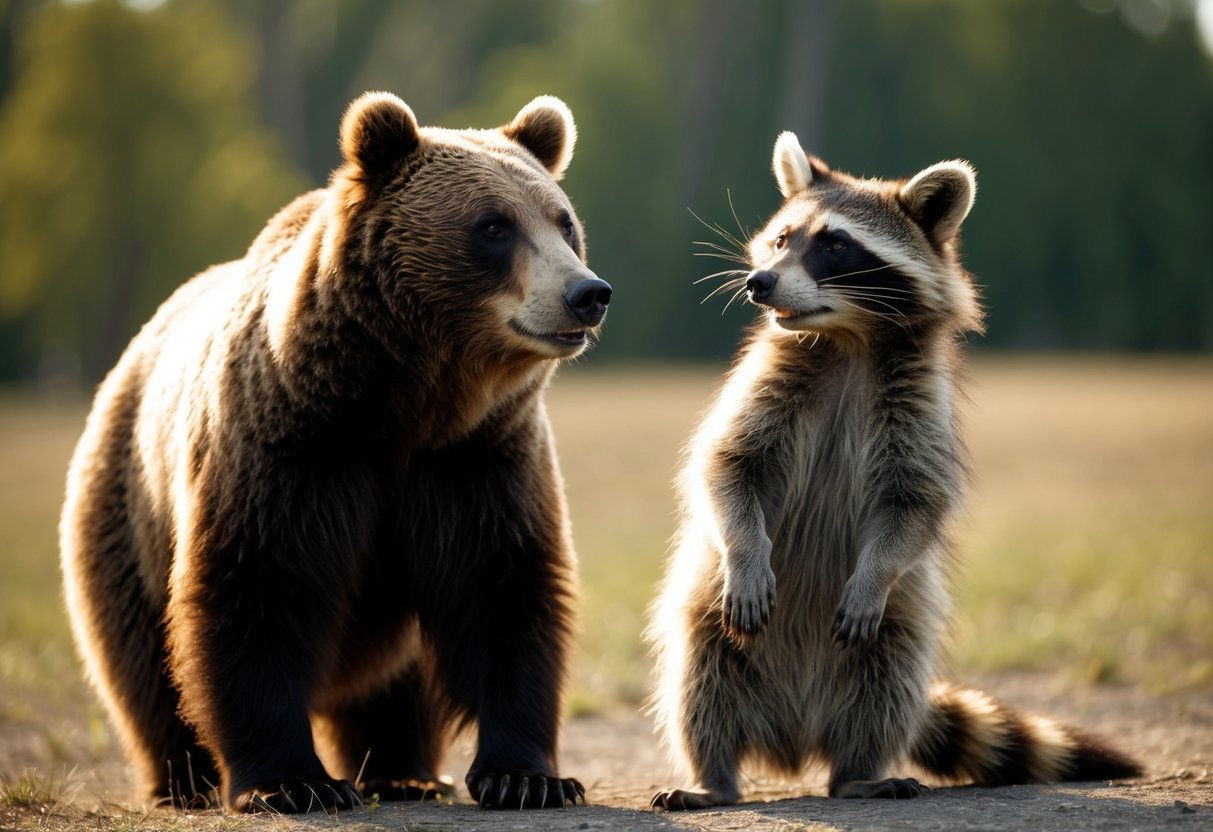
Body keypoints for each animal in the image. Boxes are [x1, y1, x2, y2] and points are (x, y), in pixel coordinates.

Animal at [59, 91, 610, 813]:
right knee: (142, 663)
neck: (407, 399)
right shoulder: (292, 448)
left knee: (398, 681)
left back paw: (402, 770)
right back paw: (181, 781)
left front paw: (528, 777)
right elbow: (257, 587)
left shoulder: (478, 458)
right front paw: (293, 784)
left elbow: (507, 585)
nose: (587, 294)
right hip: (125, 506)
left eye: (563, 222)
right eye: (494, 226)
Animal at [647, 133, 1140, 809]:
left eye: (834, 245)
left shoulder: (920, 404)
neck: (845, 336)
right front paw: (746, 551)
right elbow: (729, 466)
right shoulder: (766, 385)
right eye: (781, 239)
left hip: (893, 638)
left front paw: (876, 570)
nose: (759, 282)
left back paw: (857, 772)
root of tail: (794, 739)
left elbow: (915, 501)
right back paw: (714, 779)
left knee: (884, 690)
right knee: (700, 685)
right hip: (710, 629)